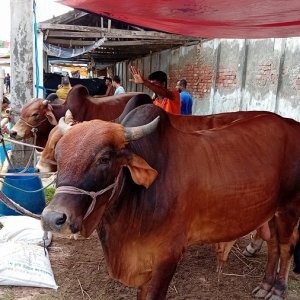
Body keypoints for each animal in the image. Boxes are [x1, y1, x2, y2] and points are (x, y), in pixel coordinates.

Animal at [41, 105, 300, 298]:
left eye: (104, 158)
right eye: (59, 155)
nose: (53, 218)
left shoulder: (168, 257)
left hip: (289, 208)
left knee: (286, 246)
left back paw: (278, 289)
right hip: (271, 210)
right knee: (273, 243)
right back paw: (265, 285)